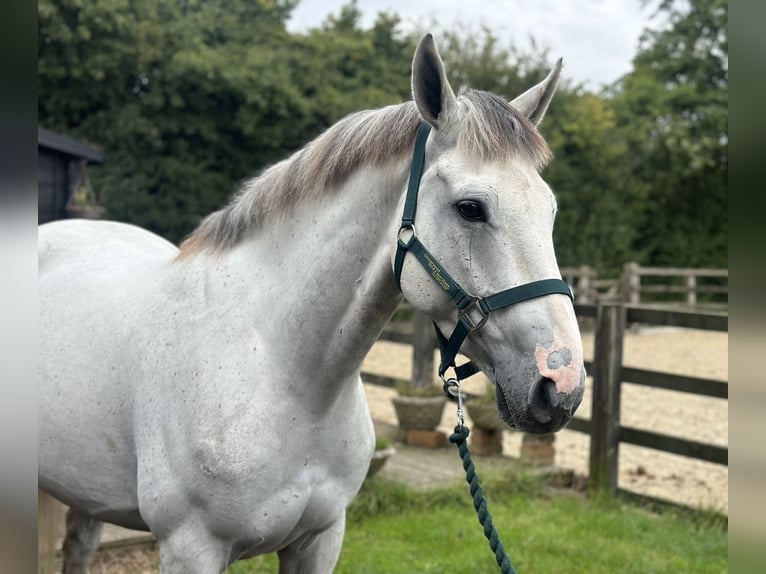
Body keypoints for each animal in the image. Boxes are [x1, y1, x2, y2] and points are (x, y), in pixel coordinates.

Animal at [39, 33, 584, 572]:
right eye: (470, 208)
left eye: (552, 210)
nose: (562, 385)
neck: (286, 379)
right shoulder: (190, 548)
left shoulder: (320, 538)